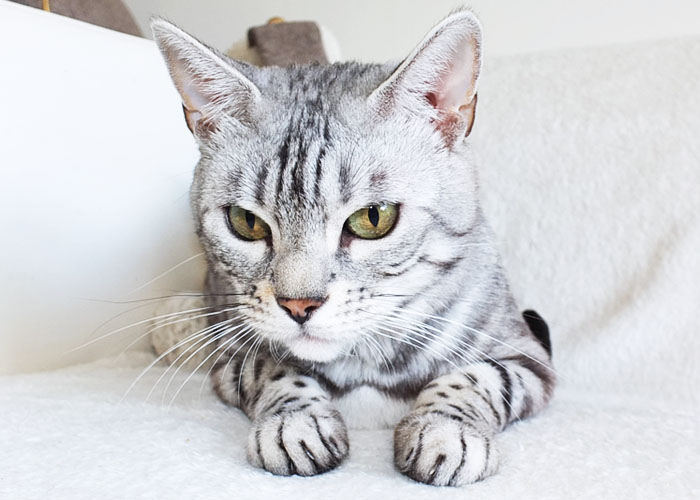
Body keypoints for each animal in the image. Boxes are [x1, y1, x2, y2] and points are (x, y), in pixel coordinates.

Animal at [152, 5, 552, 486]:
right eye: (246, 222)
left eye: (373, 218)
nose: (299, 305)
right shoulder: (231, 359)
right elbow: (273, 370)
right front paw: (294, 421)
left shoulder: (527, 354)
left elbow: (479, 377)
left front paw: (444, 429)